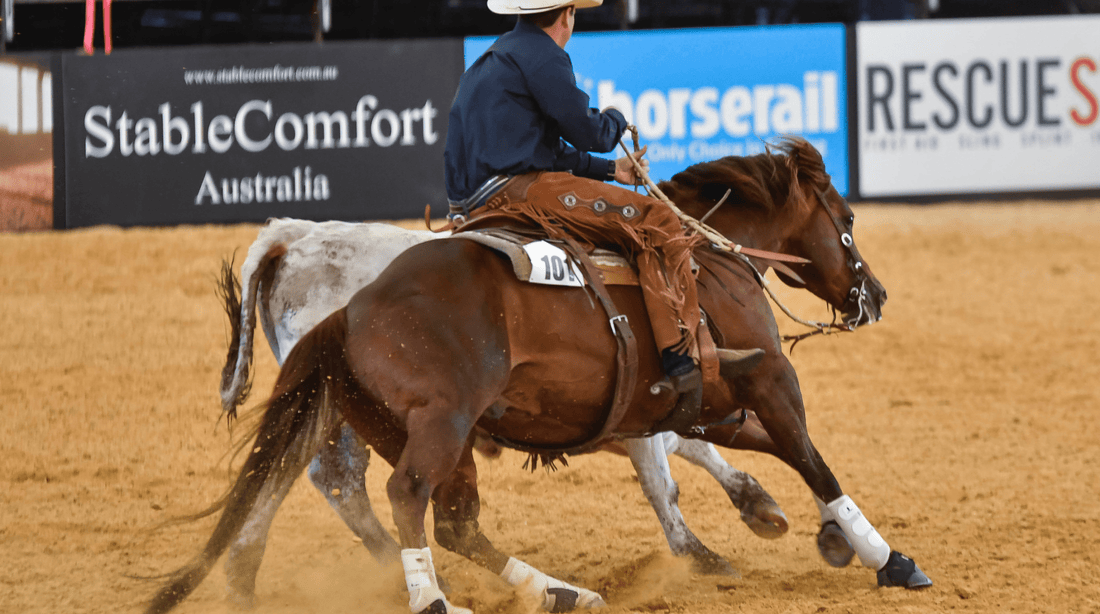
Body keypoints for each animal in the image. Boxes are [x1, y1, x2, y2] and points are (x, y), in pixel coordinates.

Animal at [215, 212, 863, 607]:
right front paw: (708, 547)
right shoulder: (648, 404)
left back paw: (245, 572)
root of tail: (290, 236)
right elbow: (668, 476)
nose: (872, 295)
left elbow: (702, 446)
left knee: (290, 472)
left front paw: (761, 503)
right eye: (845, 223)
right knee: (337, 479)